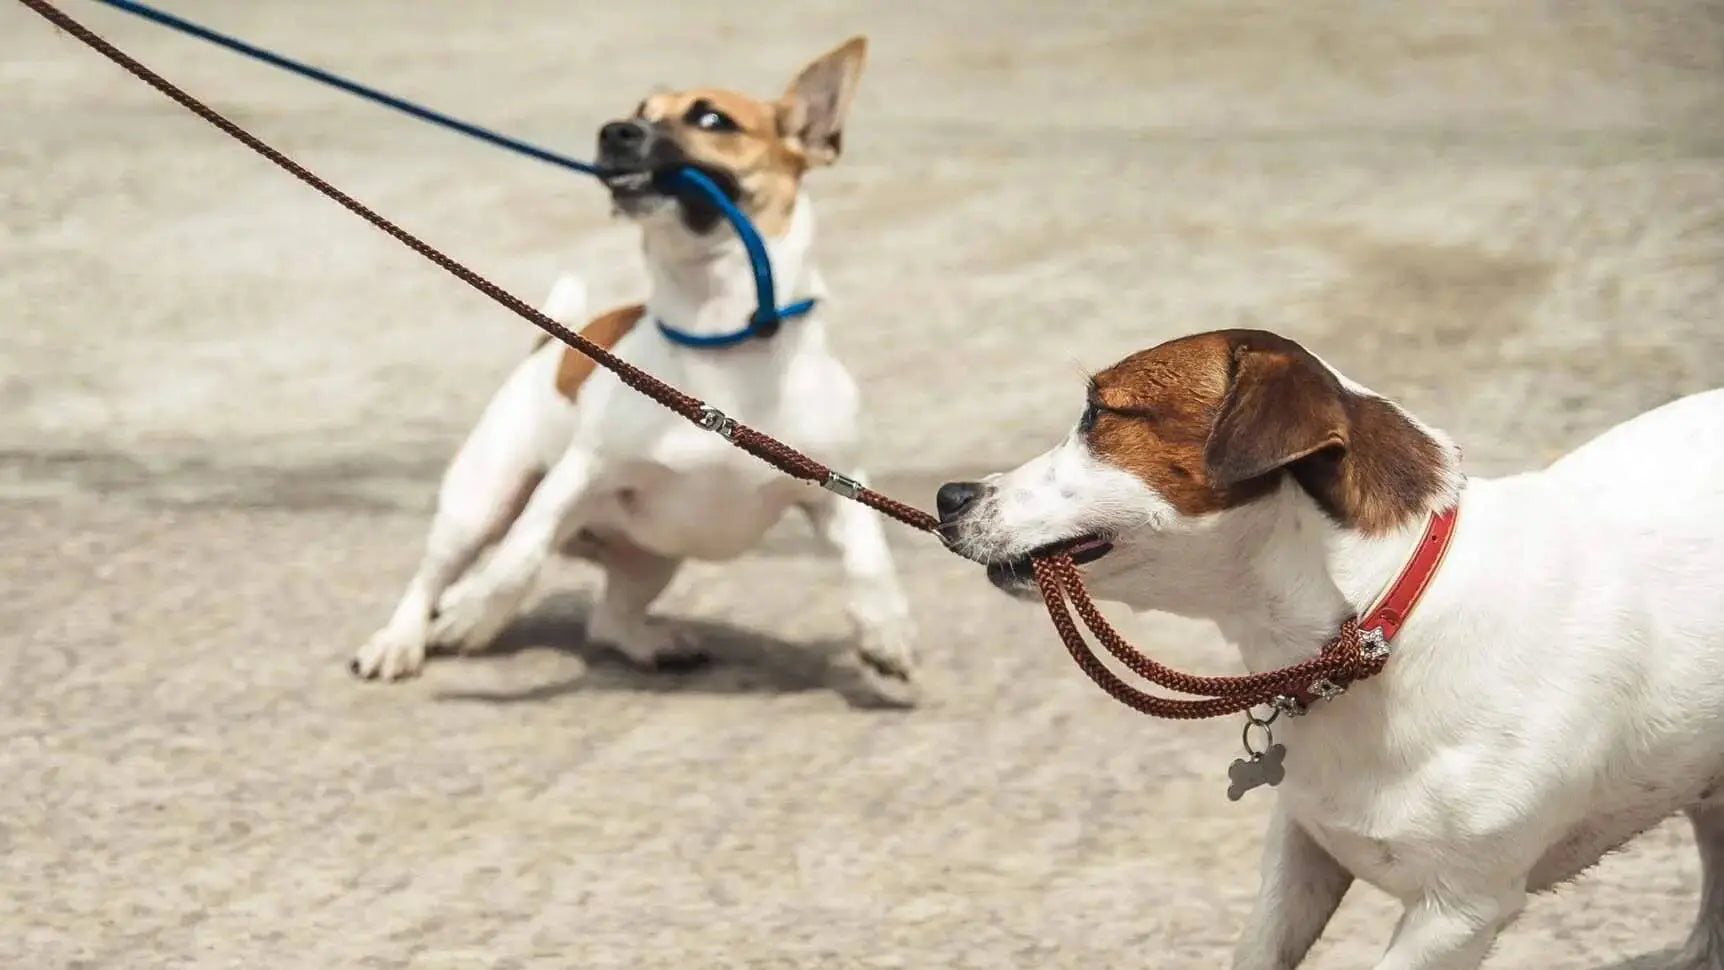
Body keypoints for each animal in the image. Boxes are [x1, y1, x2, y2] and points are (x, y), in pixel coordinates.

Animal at [346, 37, 917, 706]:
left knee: (608, 618)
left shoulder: (838, 485)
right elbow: (519, 556)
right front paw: (474, 614)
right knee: (438, 576)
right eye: (639, 110)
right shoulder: (578, 477)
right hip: (480, 502)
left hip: (652, 558)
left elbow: (869, 562)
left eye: (711, 119)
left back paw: (650, 643)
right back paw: (408, 636)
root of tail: (545, 350)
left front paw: (886, 634)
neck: (722, 341)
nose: (614, 131)